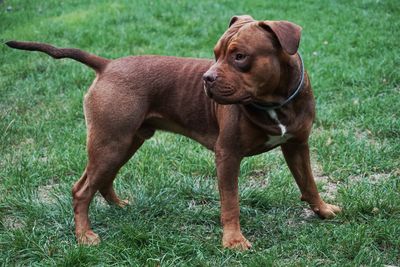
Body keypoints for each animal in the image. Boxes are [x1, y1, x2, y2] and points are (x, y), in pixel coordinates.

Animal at [6, 15, 340, 251]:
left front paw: (323, 210)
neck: (275, 100)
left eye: (239, 56)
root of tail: (107, 65)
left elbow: (309, 182)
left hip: (124, 142)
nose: (207, 78)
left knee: (103, 179)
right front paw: (233, 241)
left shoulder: (298, 145)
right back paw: (84, 236)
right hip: (110, 142)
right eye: (215, 54)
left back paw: (117, 205)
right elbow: (230, 202)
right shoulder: (228, 155)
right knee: (81, 189)